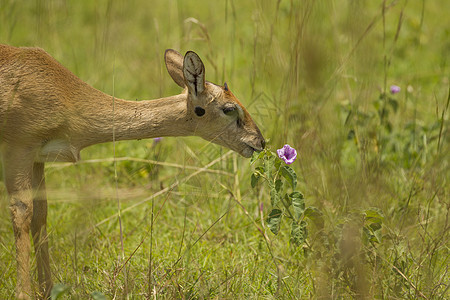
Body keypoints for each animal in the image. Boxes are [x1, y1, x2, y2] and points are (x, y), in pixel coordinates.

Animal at [0, 44, 266, 298]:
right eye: (230, 108)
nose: (260, 141)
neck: (63, 93)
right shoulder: (19, 151)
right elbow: (22, 213)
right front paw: (24, 294)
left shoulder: (38, 159)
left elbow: (40, 216)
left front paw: (47, 290)